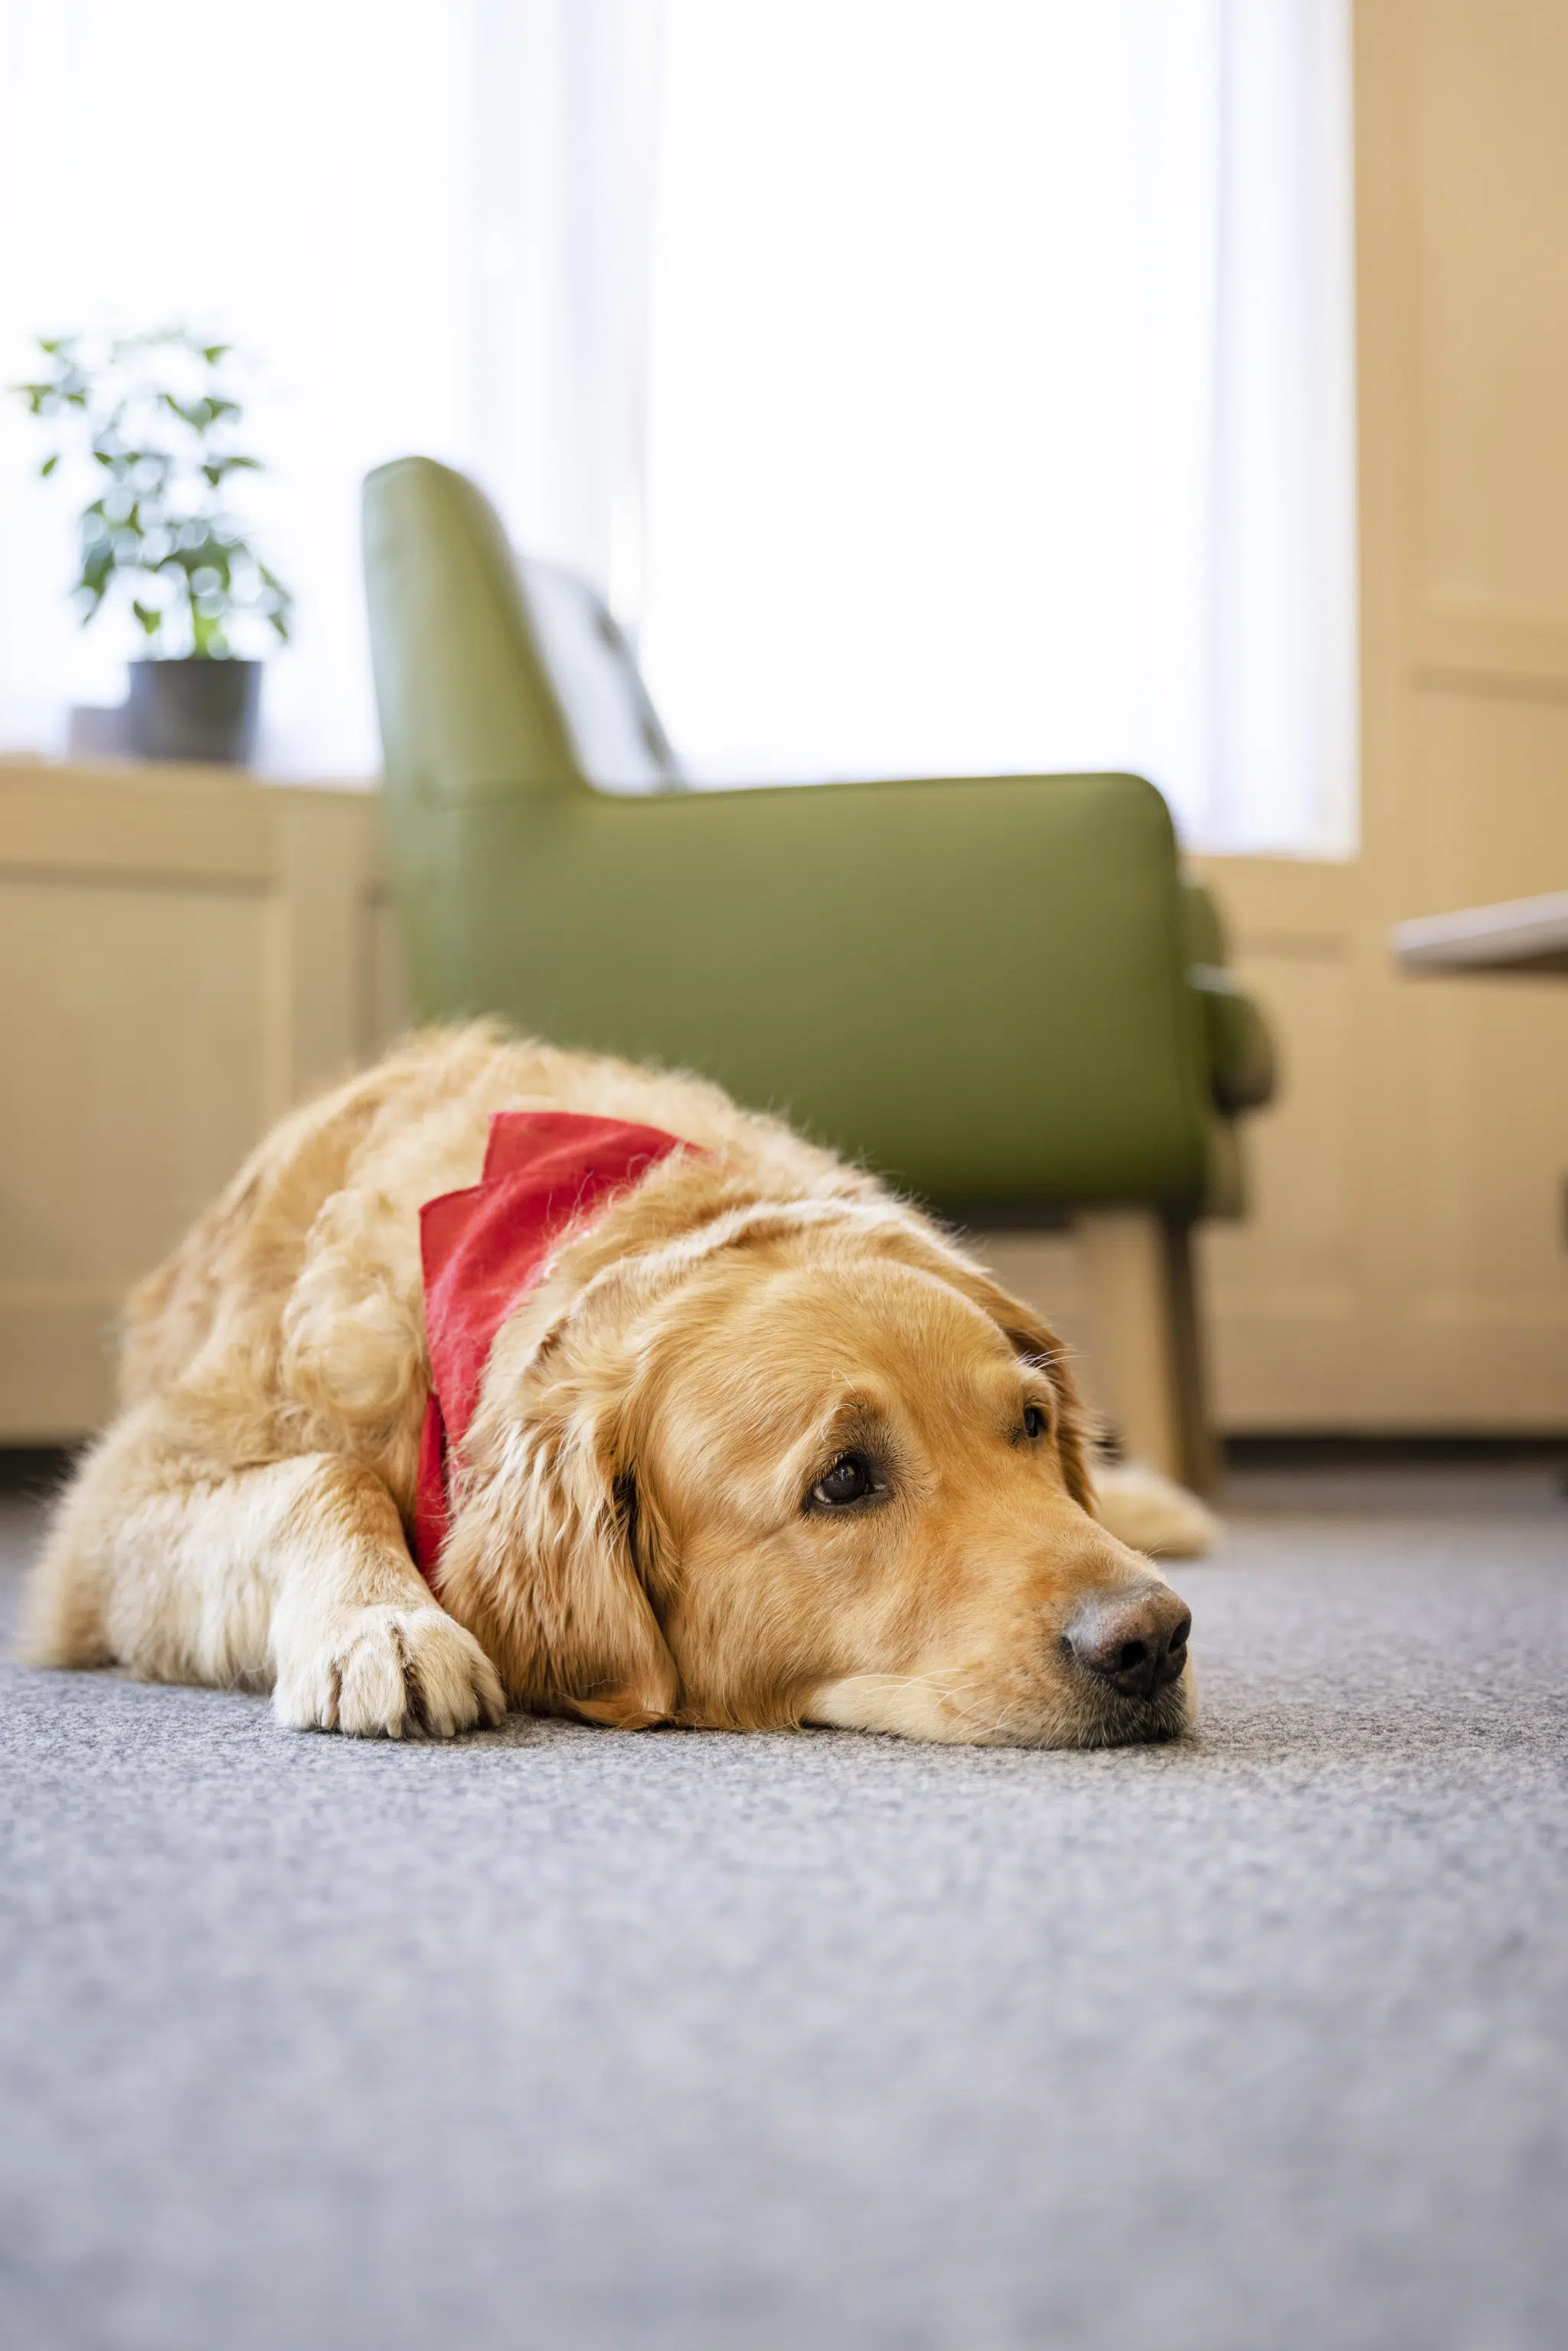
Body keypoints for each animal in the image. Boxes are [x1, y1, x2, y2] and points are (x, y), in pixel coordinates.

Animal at [24, 1030, 1194, 1749]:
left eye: (1031, 1424)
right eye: (843, 1479)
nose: (1153, 1638)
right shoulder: (103, 1524)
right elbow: (321, 1474)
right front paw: (381, 1621)